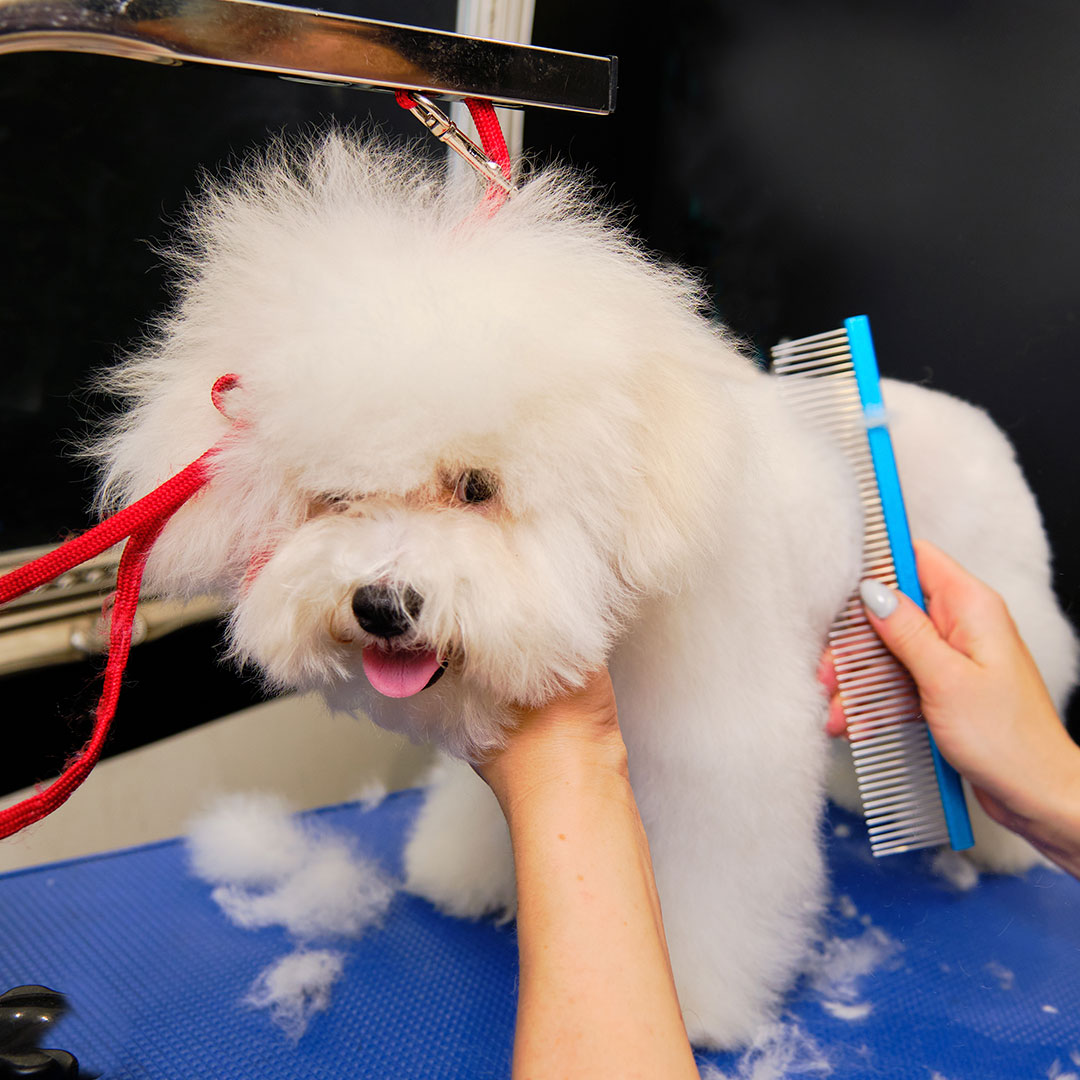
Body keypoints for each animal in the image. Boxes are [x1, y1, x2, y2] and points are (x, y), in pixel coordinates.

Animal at [97, 130, 1075, 1049]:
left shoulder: (719, 756)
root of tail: (956, 415)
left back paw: (996, 843)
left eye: (477, 487)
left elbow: (716, 882)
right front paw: (466, 868)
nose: (380, 604)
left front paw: (699, 1001)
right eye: (333, 497)